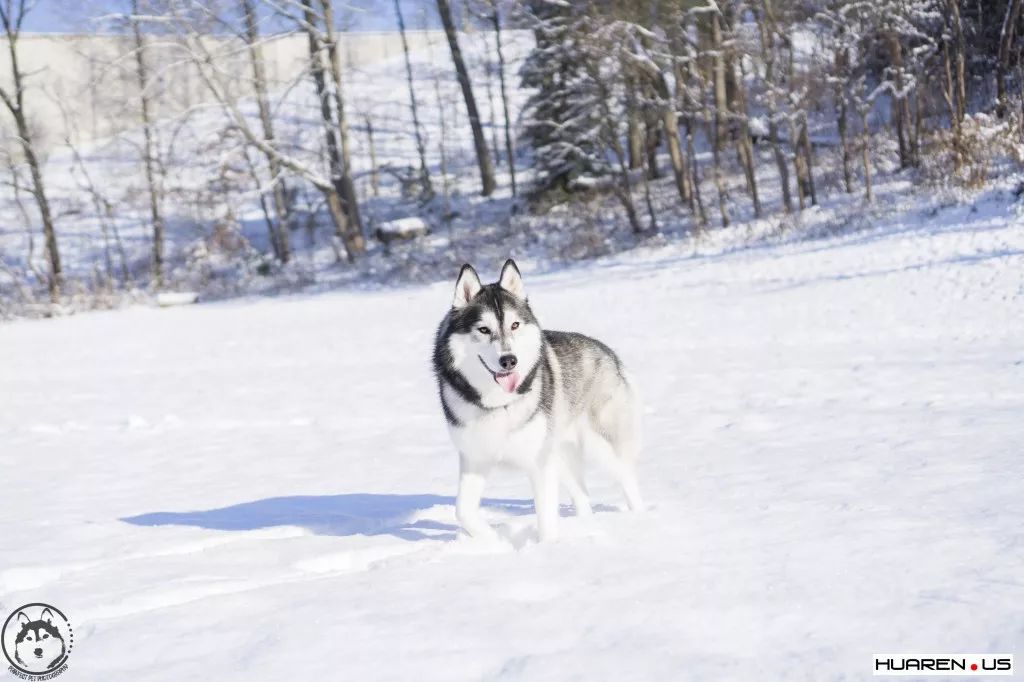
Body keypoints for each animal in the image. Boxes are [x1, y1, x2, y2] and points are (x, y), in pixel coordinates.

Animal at [430, 258, 638, 540]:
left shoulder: (540, 463)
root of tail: (608, 353)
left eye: (515, 325)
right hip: (562, 455)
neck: (499, 404)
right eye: (483, 329)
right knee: (583, 498)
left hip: (601, 446)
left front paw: (546, 548)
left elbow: (547, 519)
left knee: (629, 481)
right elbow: (463, 511)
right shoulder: (475, 457)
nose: (509, 360)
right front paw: (495, 542)